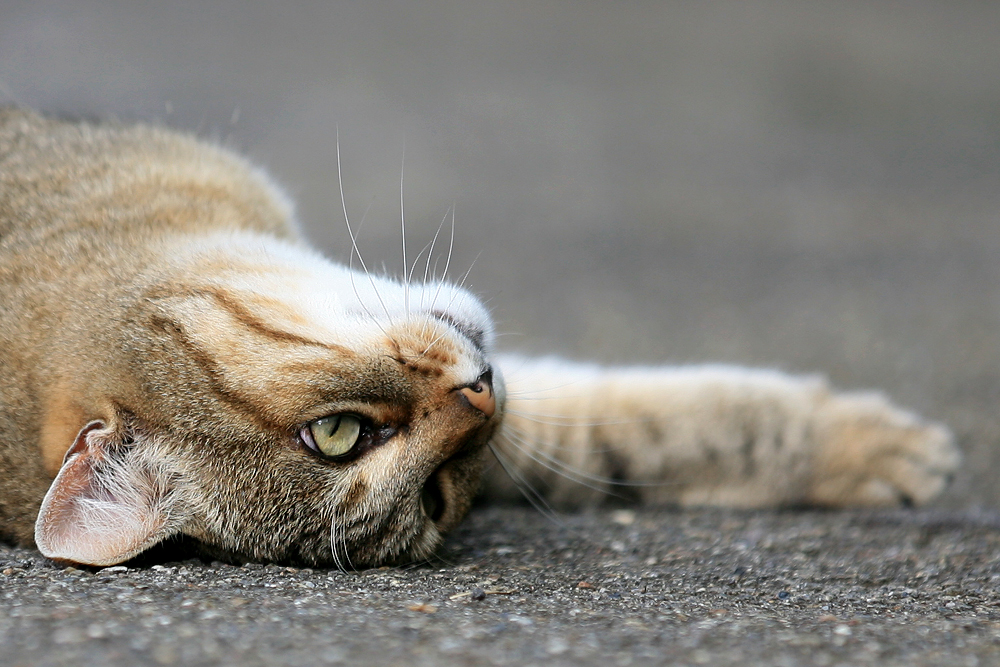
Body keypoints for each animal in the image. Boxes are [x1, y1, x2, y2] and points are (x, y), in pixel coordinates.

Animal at [0, 109, 960, 568]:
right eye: (436, 499)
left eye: (333, 432)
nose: (482, 397)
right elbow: (638, 434)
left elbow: (664, 428)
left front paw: (862, 448)